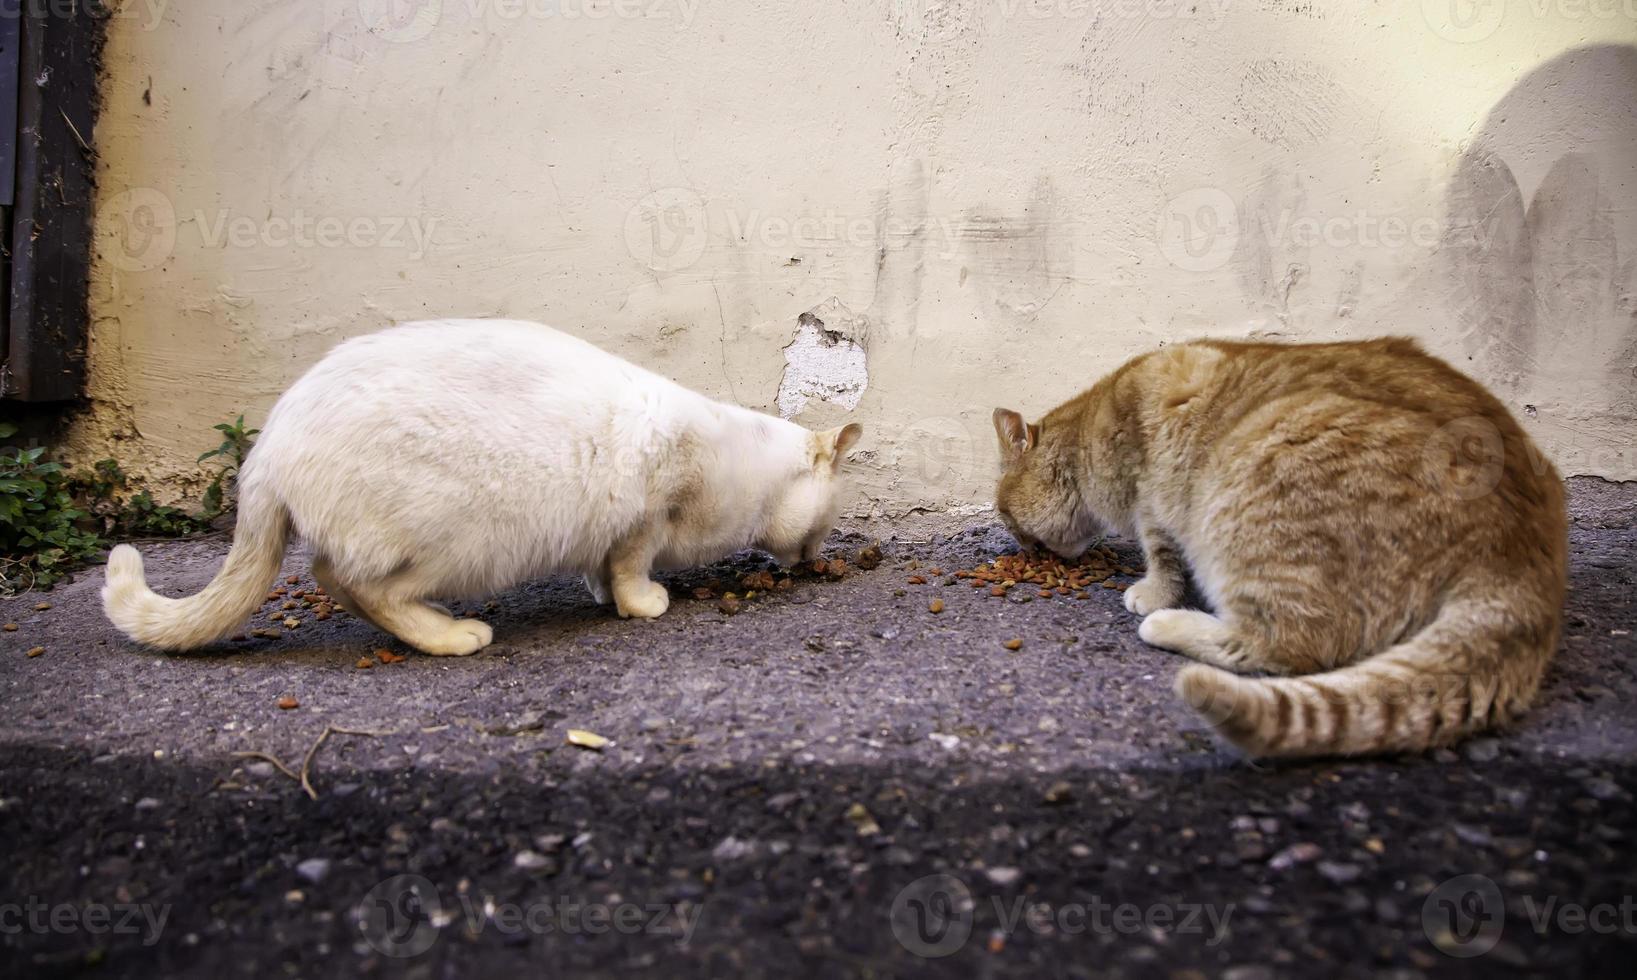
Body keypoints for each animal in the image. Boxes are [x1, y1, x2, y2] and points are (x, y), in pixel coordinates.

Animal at [102, 322, 864, 654]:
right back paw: (451, 636)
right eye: (825, 524)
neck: (737, 464)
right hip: (456, 538)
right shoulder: (644, 515)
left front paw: (600, 596)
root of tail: (267, 449)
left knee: (335, 577)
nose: (816, 558)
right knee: (353, 584)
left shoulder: (614, 531)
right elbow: (630, 567)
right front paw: (641, 604)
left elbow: (601, 568)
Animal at [988, 337, 1564, 759]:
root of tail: (1522, 553)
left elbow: (1163, 557)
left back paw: (1170, 626)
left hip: (1252, 489)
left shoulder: (1153, 497)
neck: (1092, 426)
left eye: (1009, 520)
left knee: (1287, 644)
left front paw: (1151, 594)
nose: (1026, 550)